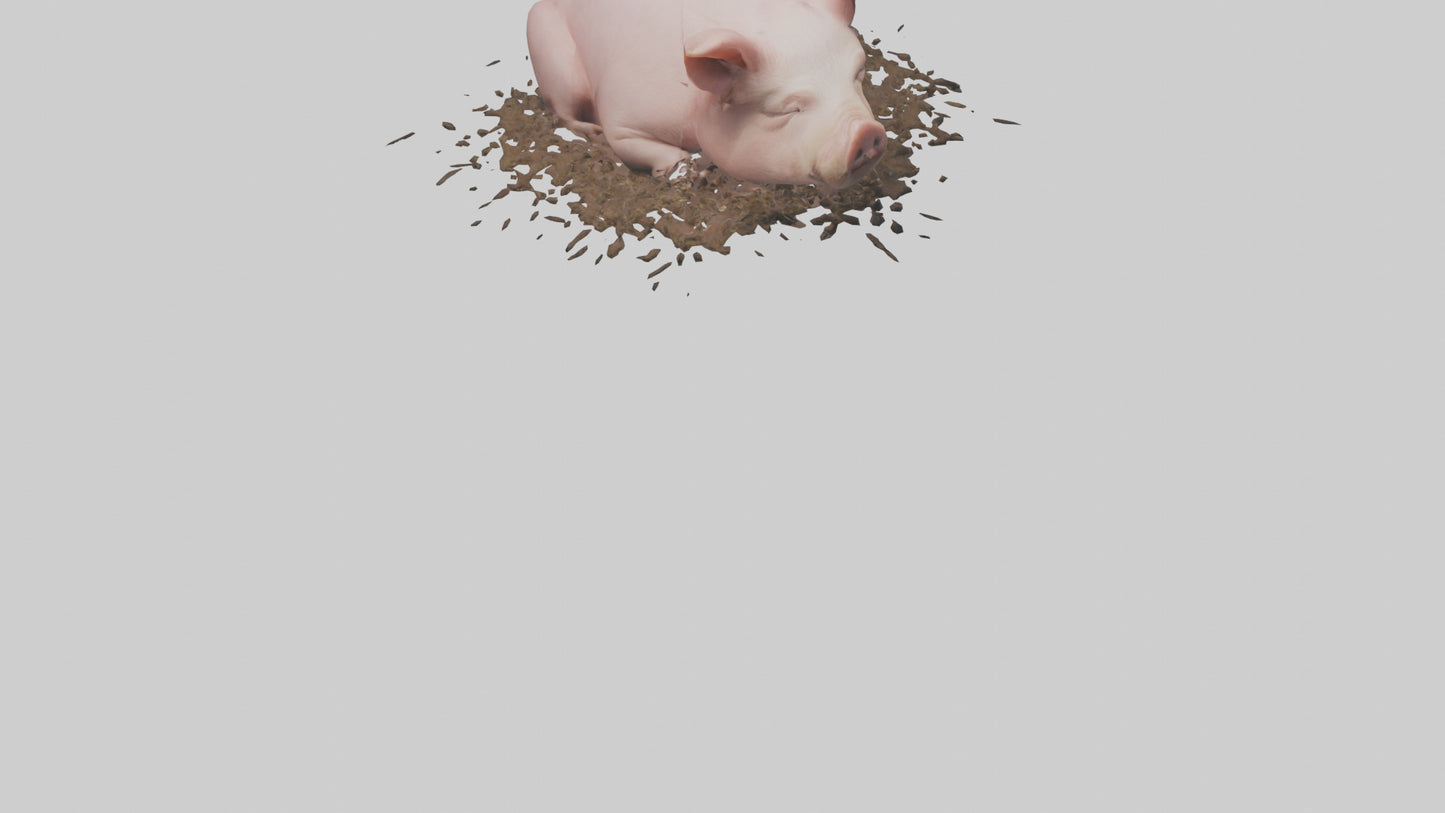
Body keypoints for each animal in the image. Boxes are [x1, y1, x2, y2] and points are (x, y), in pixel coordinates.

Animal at [525, 0, 888, 191]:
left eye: (858, 74)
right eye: (788, 110)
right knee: (562, 110)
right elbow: (630, 143)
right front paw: (688, 172)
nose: (867, 132)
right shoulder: (623, 115)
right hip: (550, 53)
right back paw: (591, 132)